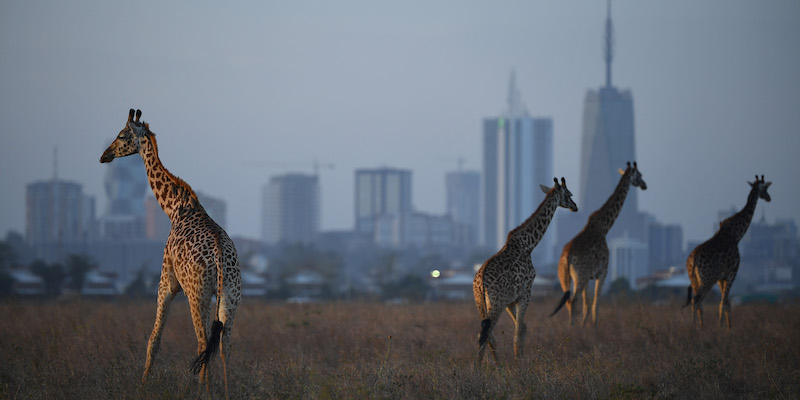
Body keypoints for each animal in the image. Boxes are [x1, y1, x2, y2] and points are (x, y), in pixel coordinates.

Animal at [98, 107, 241, 396]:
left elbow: (154, 339)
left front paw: (142, 386)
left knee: (202, 343)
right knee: (224, 345)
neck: (175, 208)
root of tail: (221, 260)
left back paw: (203, 392)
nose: (104, 155)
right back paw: (226, 392)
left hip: (197, 294)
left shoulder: (167, 281)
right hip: (231, 297)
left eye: (121, 135)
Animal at [472, 177, 580, 366]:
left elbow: (523, 327)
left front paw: (518, 361)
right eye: (569, 194)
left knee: (488, 334)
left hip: (481, 302)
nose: (575, 207)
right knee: (485, 333)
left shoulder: (511, 300)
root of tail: (481, 282)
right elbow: (518, 332)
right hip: (496, 303)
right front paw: (519, 365)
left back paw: (495, 366)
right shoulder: (526, 293)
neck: (529, 245)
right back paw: (479, 368)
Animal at [552, 161, 648, 326]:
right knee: (574, 301)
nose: (644, 185)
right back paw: (572, 328)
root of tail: (567, 257)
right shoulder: (602, 273)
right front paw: (593, 328)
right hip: (580, 276)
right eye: (639, 175)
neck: (604, 227)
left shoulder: (590, 277)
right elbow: (595, 305)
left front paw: (584, 327)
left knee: (569, 302)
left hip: (564, 276)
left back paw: (572, 327)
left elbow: (586, 306)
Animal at [684, 175, 772, 328]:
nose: (769, 198)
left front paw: (728, 328)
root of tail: (693, 260)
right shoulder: (732, 273)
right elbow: (723, 303)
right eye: (765, 188)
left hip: (694, 278)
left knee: (698, 302)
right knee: (697, 300)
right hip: (708, 279)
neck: (737, 234)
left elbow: (727, 303)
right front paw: (722, 328)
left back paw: (700, 327)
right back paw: (695, 327)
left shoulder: (721, 277)